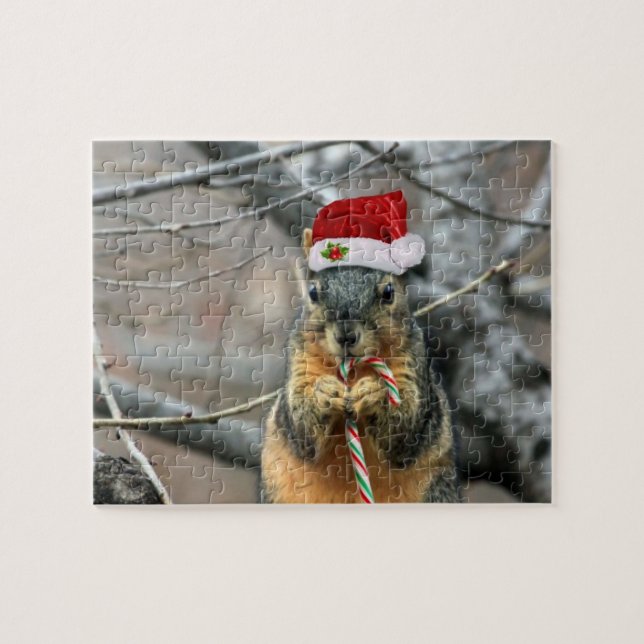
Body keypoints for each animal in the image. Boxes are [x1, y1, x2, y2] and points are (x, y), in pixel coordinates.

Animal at [261, 191, 459, 503]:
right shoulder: (299, 361)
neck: (352, 371)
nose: (346, 336)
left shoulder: (412, 364)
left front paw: (374, 393)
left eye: (388, 293)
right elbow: (301, 431)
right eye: (313, 292)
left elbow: (404, 433)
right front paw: (324, 392)